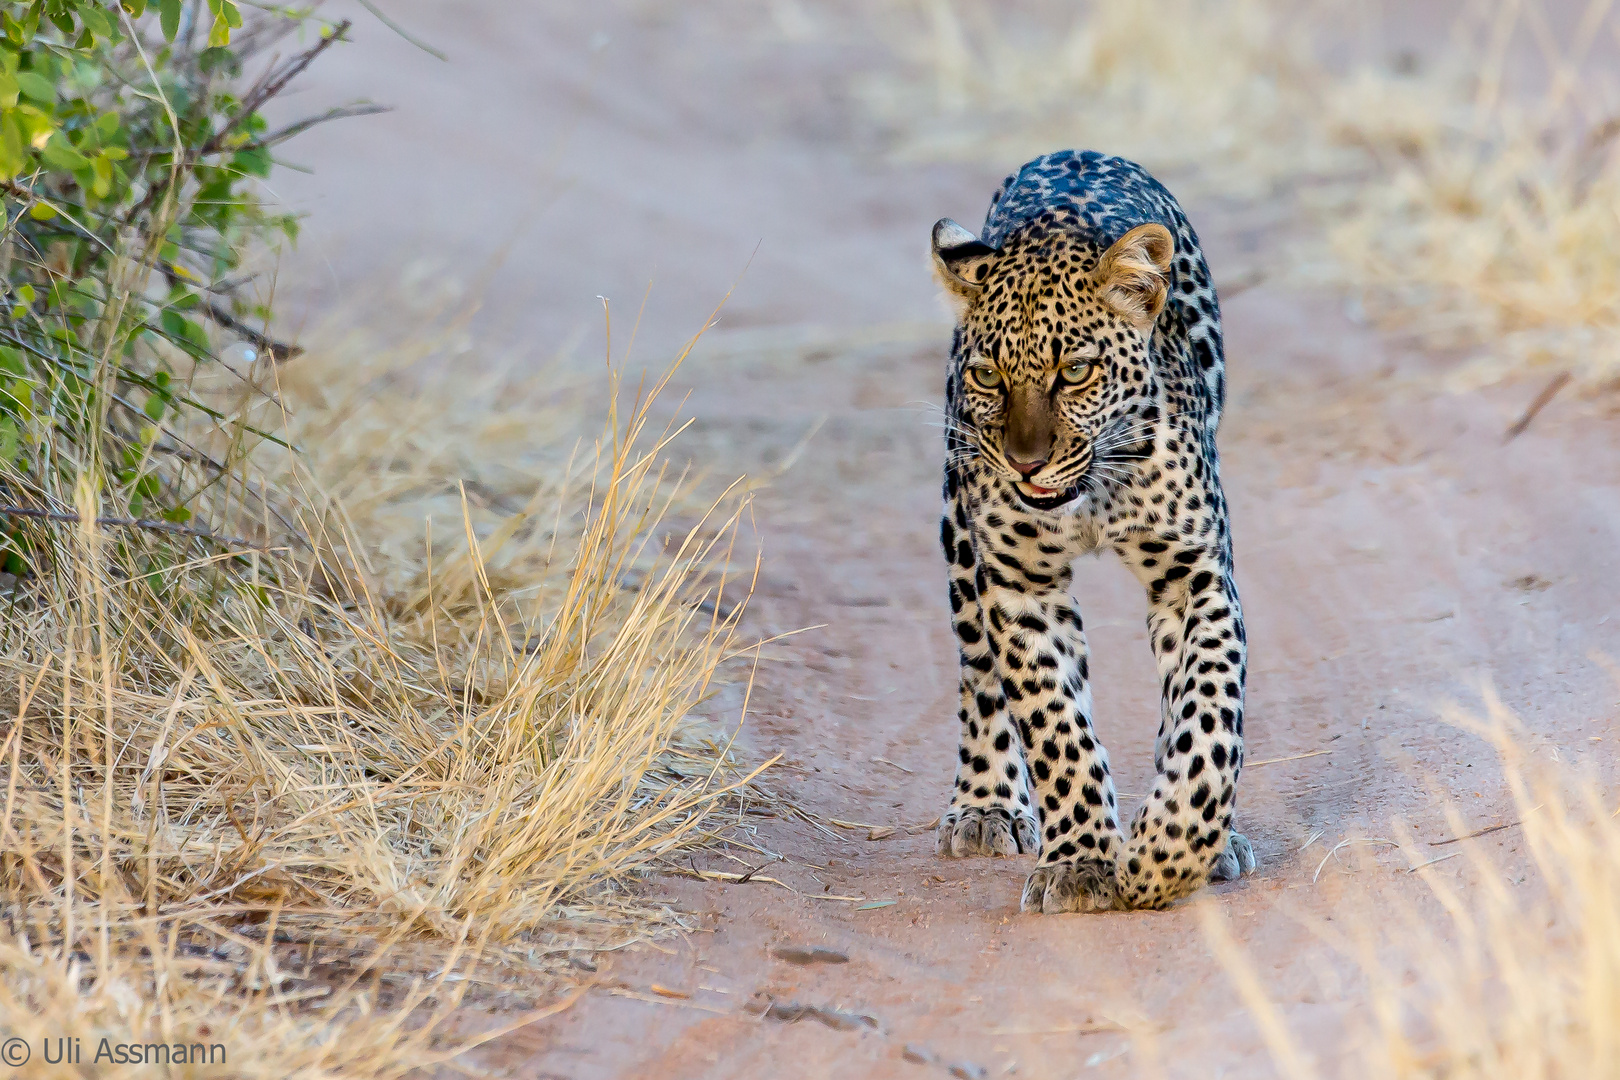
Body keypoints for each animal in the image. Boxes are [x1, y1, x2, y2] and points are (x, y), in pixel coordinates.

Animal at [933, 152, 1257, 913]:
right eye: (988, 375)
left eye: (1075, 371)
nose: (1025, 462)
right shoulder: (1021, 587)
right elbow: (1054, 724)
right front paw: (1081, 860)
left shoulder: (1194, 578)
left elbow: (1207, 718)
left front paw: (1171, 851)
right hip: (960, 536)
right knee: (979, 675)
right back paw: (986, 804)